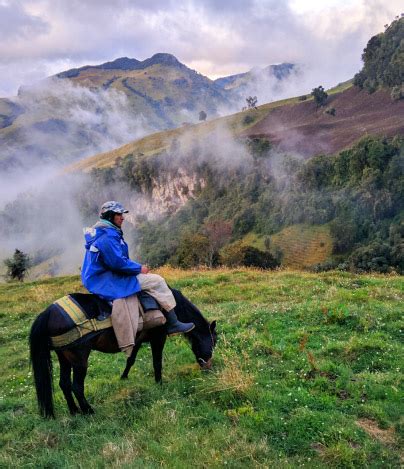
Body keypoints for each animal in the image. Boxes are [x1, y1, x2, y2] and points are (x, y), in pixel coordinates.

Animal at [30, 288, 216, 418]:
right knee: (76, 386)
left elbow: (131, 360)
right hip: (79, 358)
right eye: (214, 342)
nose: (209, 369)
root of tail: (48, 313)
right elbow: (157, 362)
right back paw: (88, 411)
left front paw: (124, 377)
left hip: (64, 357)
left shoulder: (137, 339)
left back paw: (74, 411)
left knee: (64, 384)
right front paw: (160, 384)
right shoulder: (158, 337)